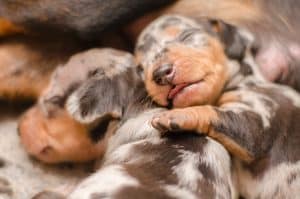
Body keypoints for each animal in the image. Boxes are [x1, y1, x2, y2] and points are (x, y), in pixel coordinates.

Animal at [135, 14, 300, 198]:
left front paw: (177, 115)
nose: (160, 73)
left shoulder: (257, 125)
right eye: (140, 68)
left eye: (186, 35)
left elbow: (213, 112)